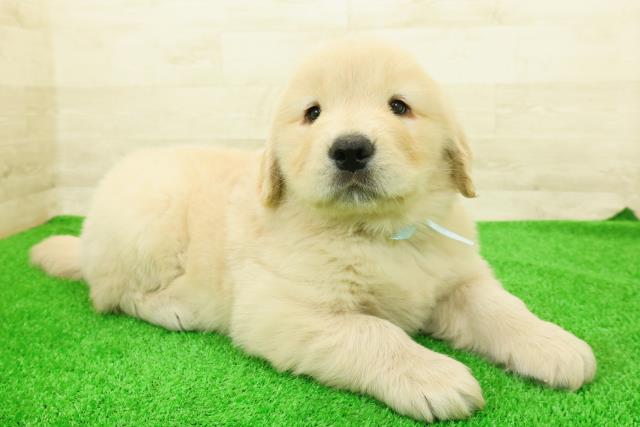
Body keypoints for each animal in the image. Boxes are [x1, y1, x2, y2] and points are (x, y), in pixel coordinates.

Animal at [31, 39, 595, 422]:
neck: (379, 231)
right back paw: (173, 308)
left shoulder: (458, 276)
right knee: (112, 293)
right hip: (148, 221)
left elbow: (500, 308)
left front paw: (553, 345)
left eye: (399, 106)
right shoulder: (281, 308)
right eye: (312, 113)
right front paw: (432, 374)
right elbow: (373, 332)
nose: (349, 149)